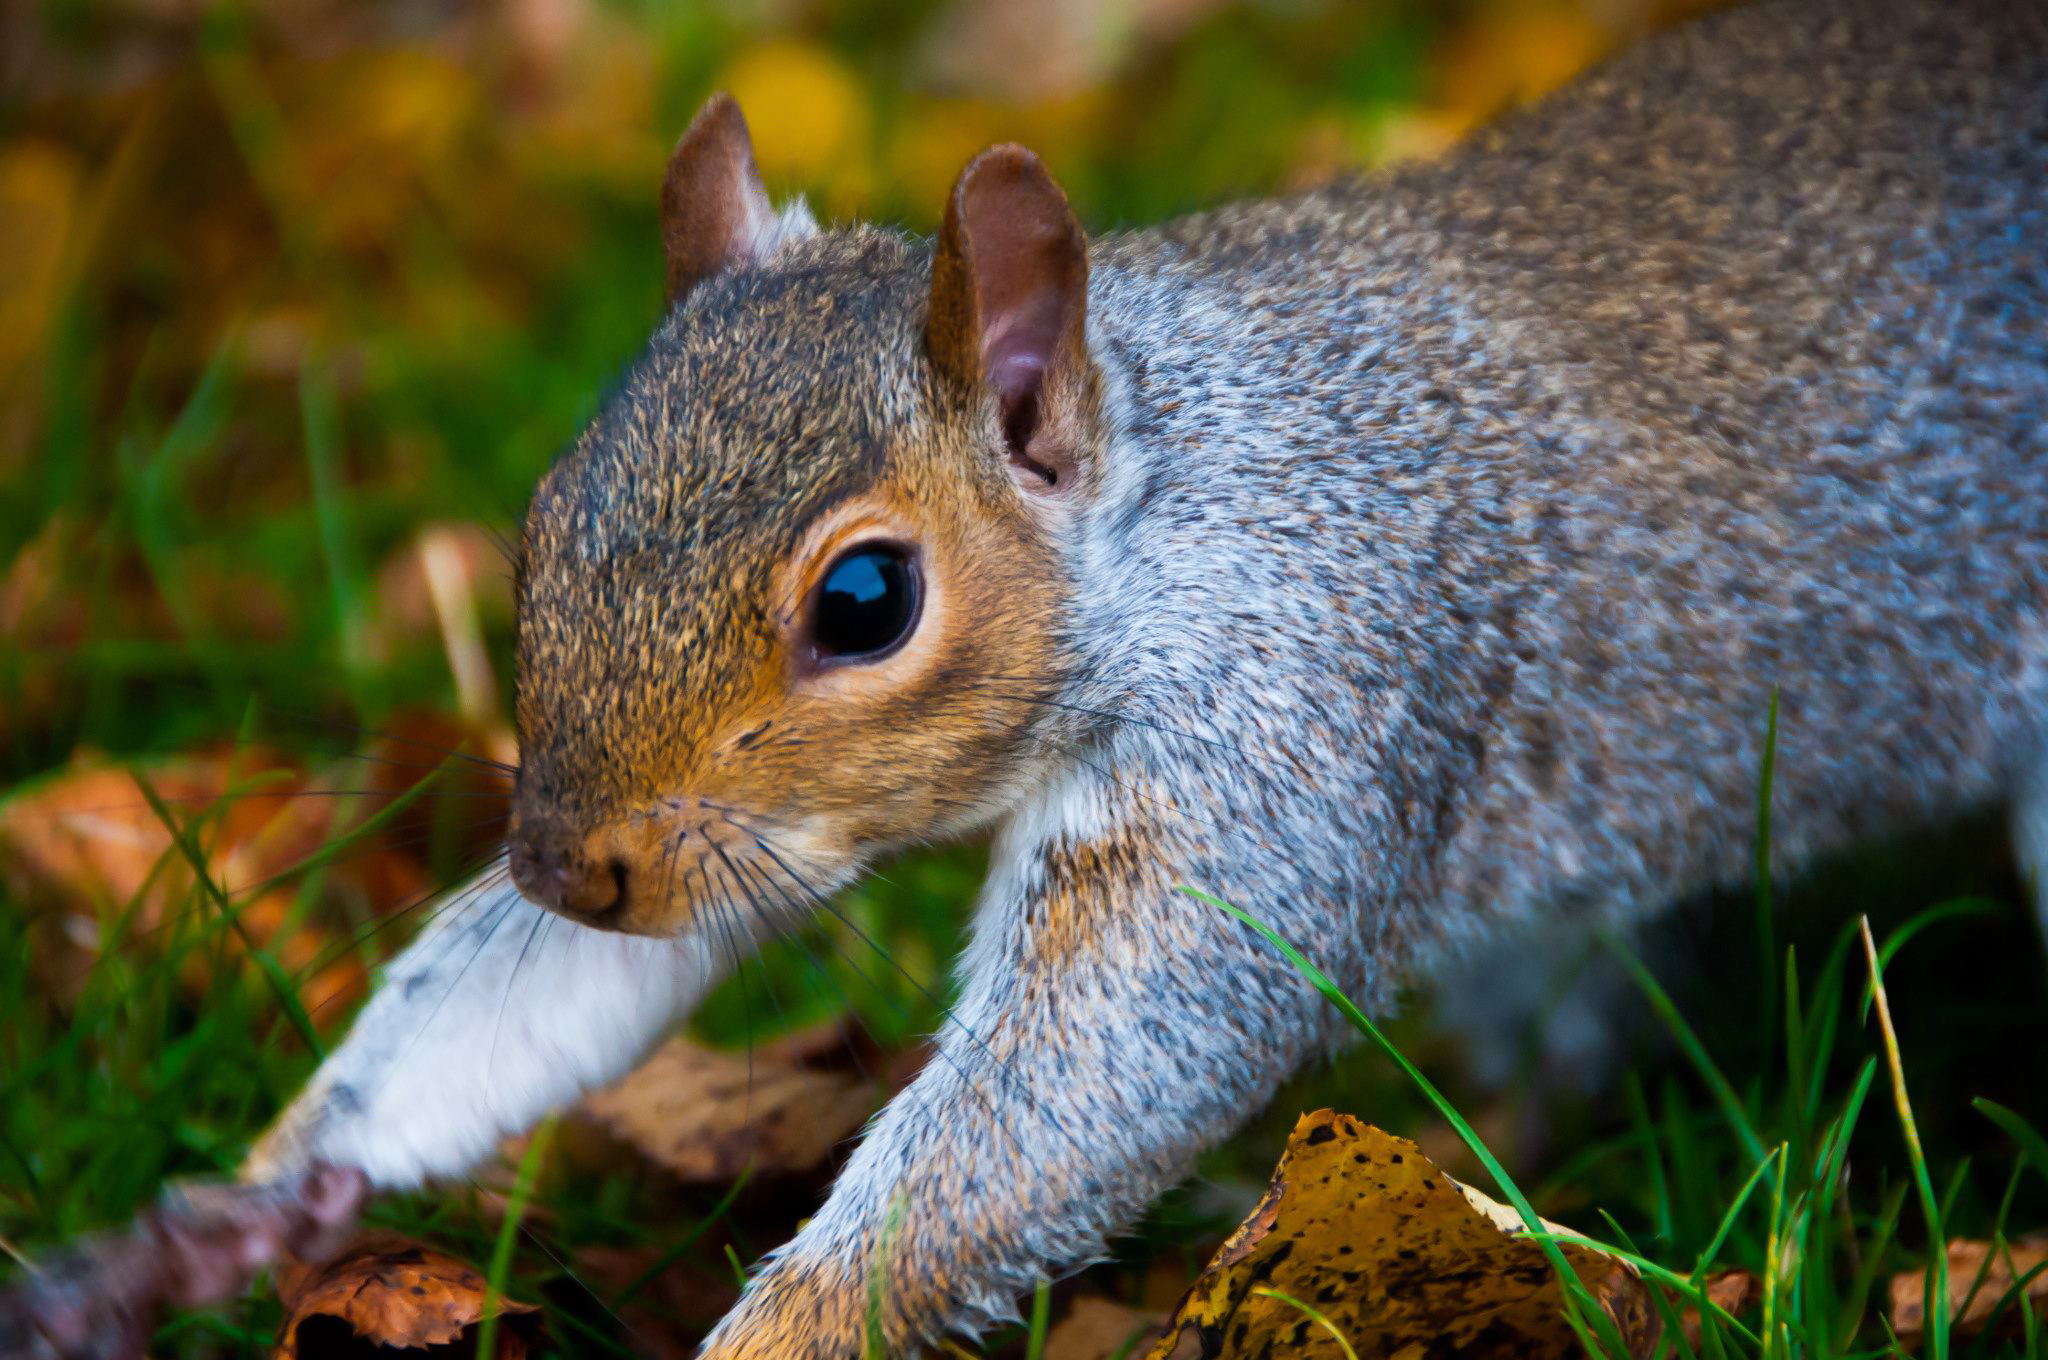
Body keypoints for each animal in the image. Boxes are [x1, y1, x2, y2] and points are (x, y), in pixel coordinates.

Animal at [4, 0, 2048, 1351]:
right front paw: (233, 1214)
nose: (563, 869)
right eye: (542, 521)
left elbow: (1087, 1083)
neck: (1180, 500)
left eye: (864, 601)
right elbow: (532, 1013)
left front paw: (775, 1332)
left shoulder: (1287, 724)